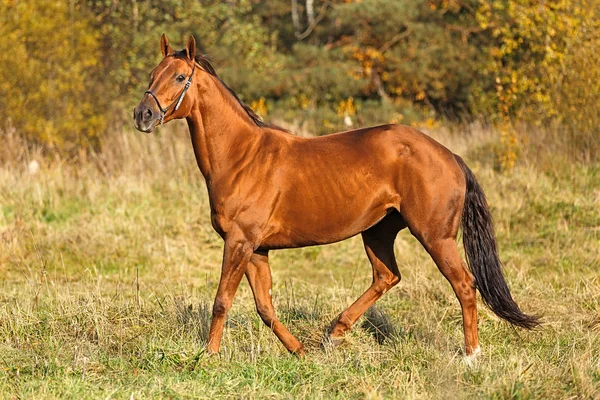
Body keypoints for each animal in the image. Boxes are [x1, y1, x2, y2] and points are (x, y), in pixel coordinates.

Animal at [135, 34, 540, 358]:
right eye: (151, 75)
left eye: (180, 77)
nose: (143, 115)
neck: (243, 156)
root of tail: (450, 156)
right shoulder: (256, 249)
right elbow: (265, 307)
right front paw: (299, 351)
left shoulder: (239, 242)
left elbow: (222, 301)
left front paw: (208, 357)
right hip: (378, 231)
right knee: (387, 277)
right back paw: (334, 334)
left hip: (435, 236)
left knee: (465, 286)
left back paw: (471, 355)